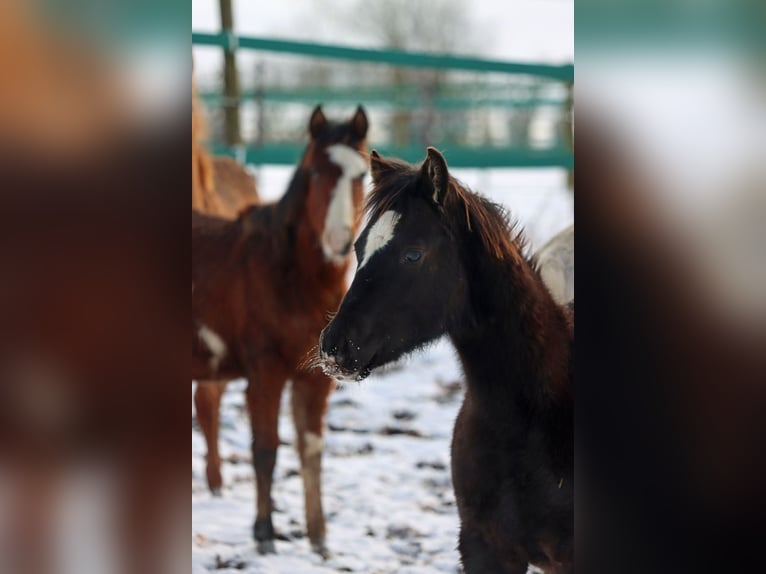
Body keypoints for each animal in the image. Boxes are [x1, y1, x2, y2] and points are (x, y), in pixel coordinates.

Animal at [194, 107, 370, 560]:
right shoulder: (265, 371)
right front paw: (264, 533)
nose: (338, 241)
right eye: (315, 171)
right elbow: (266, 449)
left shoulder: (314, 377)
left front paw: (319, 538)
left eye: (361, 173)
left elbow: (311, 450)